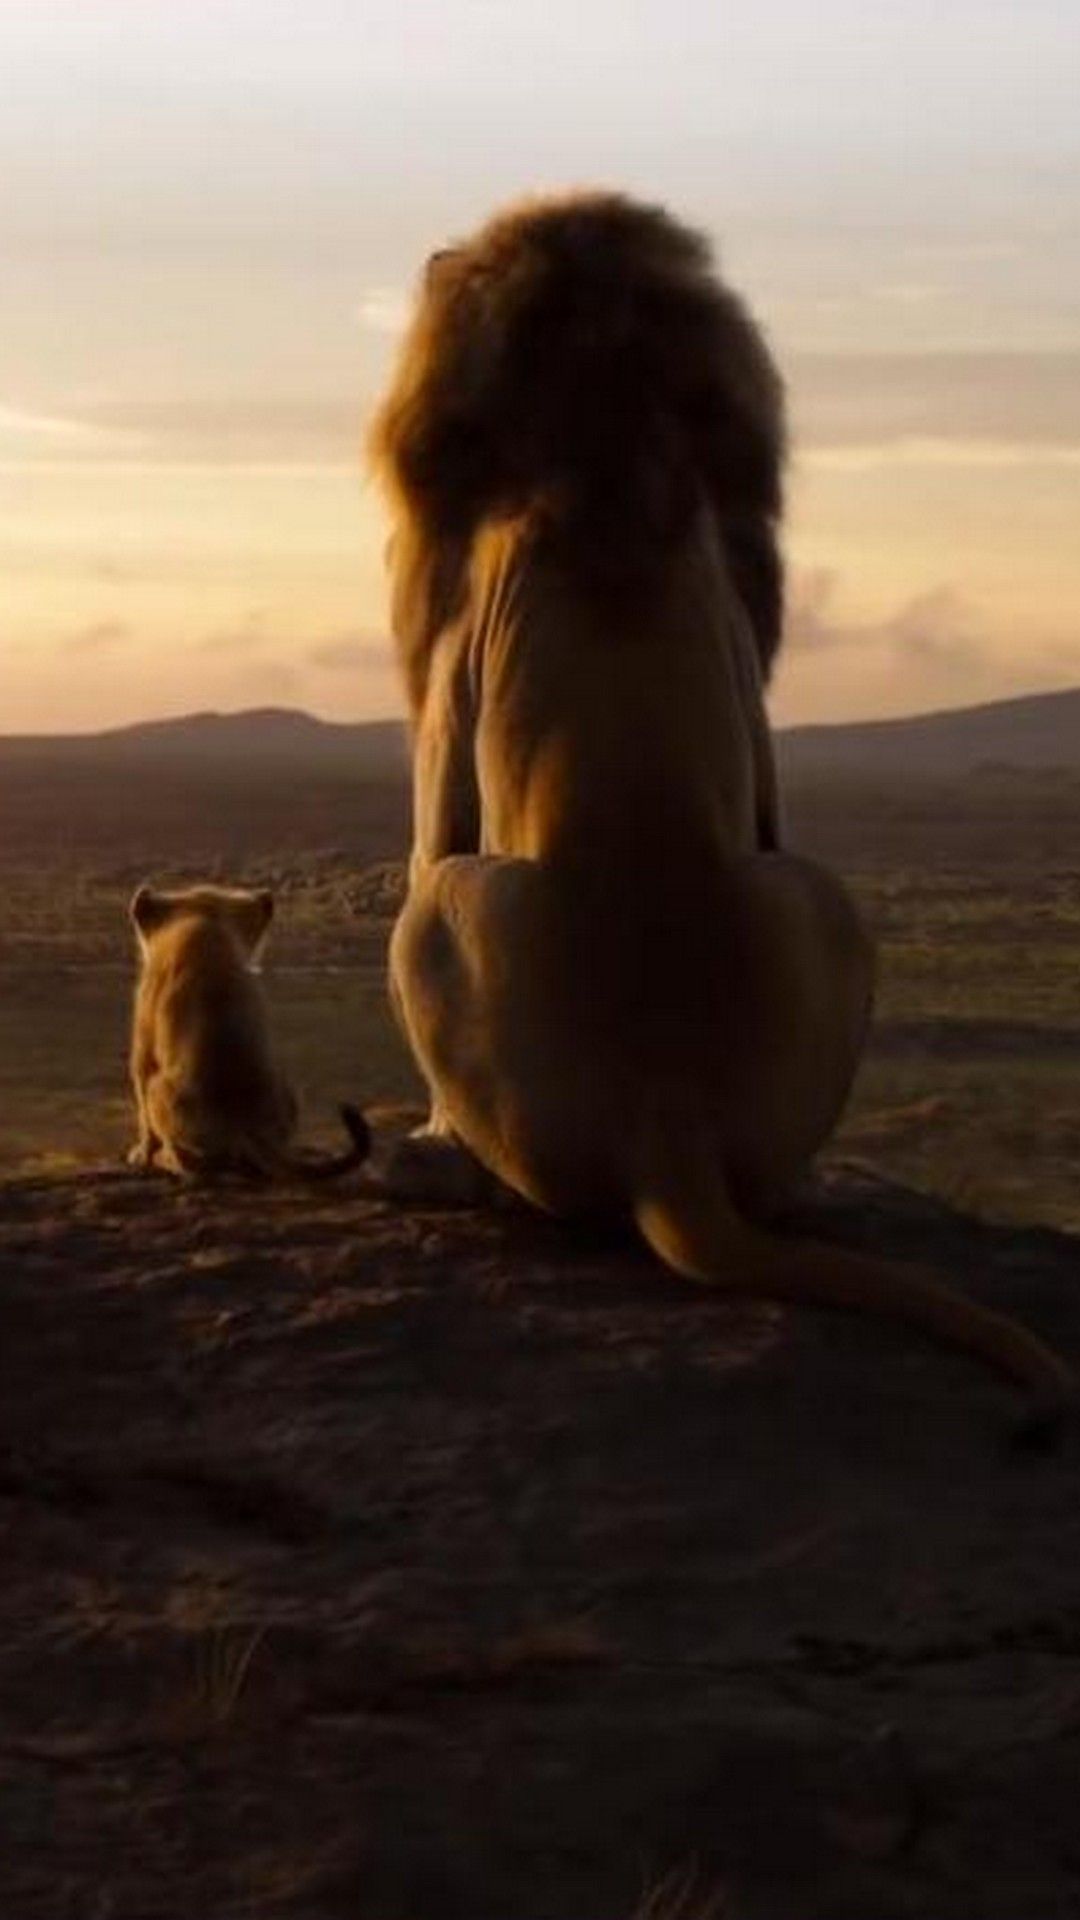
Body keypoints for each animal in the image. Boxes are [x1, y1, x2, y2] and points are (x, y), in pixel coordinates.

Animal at [128, 883, 368, 1180]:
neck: (202, 926)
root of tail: (244, 1128)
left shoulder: (144, 1047)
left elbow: (143, 1115)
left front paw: (141, 1155)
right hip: (288, 1091)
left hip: (159, 1089)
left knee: (191, 1163)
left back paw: (167, 1160)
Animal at [368, 190, 1072, 1432]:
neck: (606, 433)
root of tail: (672, 1122)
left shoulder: (449, 677)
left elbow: (426, 824)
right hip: (825, 896)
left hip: (443, 919)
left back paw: (438, 1171)